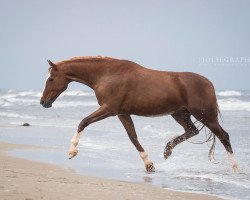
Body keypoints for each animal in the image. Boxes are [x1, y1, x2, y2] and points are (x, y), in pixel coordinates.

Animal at [40, 55, 239, 172]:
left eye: (51, 79)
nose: (43, 102)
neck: (107, 74)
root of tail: (209, 83)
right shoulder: (122, 114)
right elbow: (133, 138)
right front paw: (149, 164)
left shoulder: (109, 109)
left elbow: (83, 122)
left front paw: (72, 151)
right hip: (180, 114)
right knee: (192, 131)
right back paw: (167, 150)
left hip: (205, 115)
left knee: (224, 136)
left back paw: (236, 168)